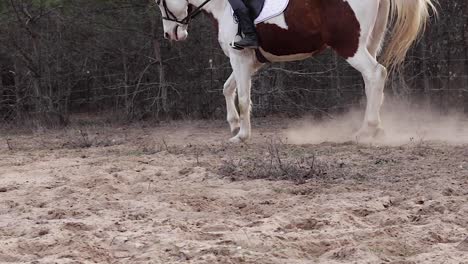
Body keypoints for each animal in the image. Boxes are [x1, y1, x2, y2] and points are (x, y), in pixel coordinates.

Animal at [155, 0, 436, 142]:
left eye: (160, 2)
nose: (170, 35)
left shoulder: (239, 57)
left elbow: (244, 99)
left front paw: (242, 135)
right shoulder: (250, 61)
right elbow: (227, 88)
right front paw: (234, 125)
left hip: (350, 47)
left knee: (375, 74)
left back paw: (366, 130)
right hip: (369, 42)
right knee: (372, 82)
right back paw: (376, 130)